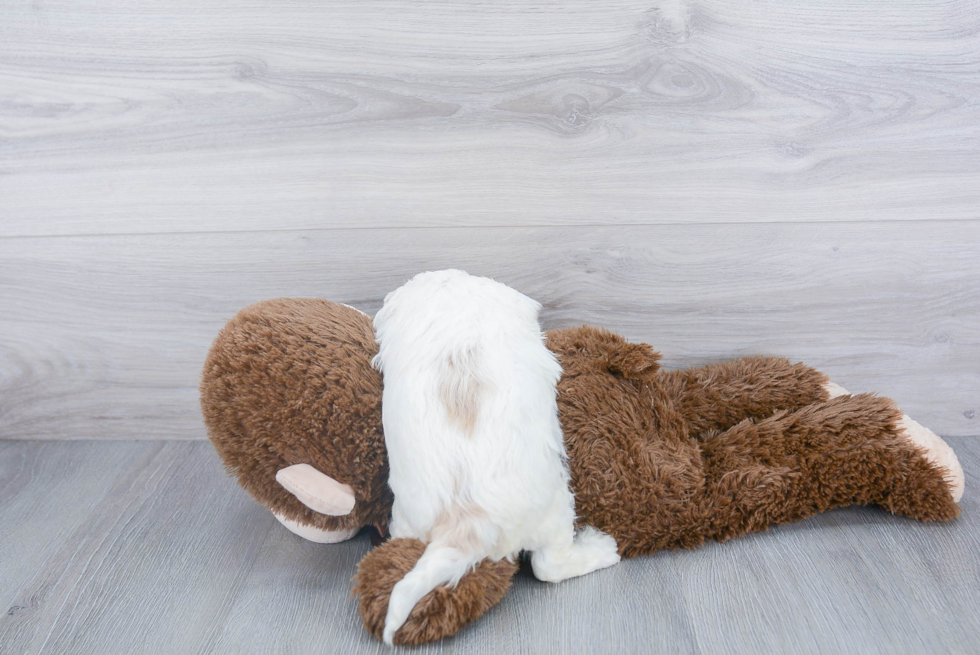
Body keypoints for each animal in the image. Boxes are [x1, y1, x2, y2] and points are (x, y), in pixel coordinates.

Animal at [372, 272, 616, 644]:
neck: (455, 303)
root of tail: (465, 526)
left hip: (407, 521)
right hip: (555, 508)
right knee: (549, 566)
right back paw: (602, 548)